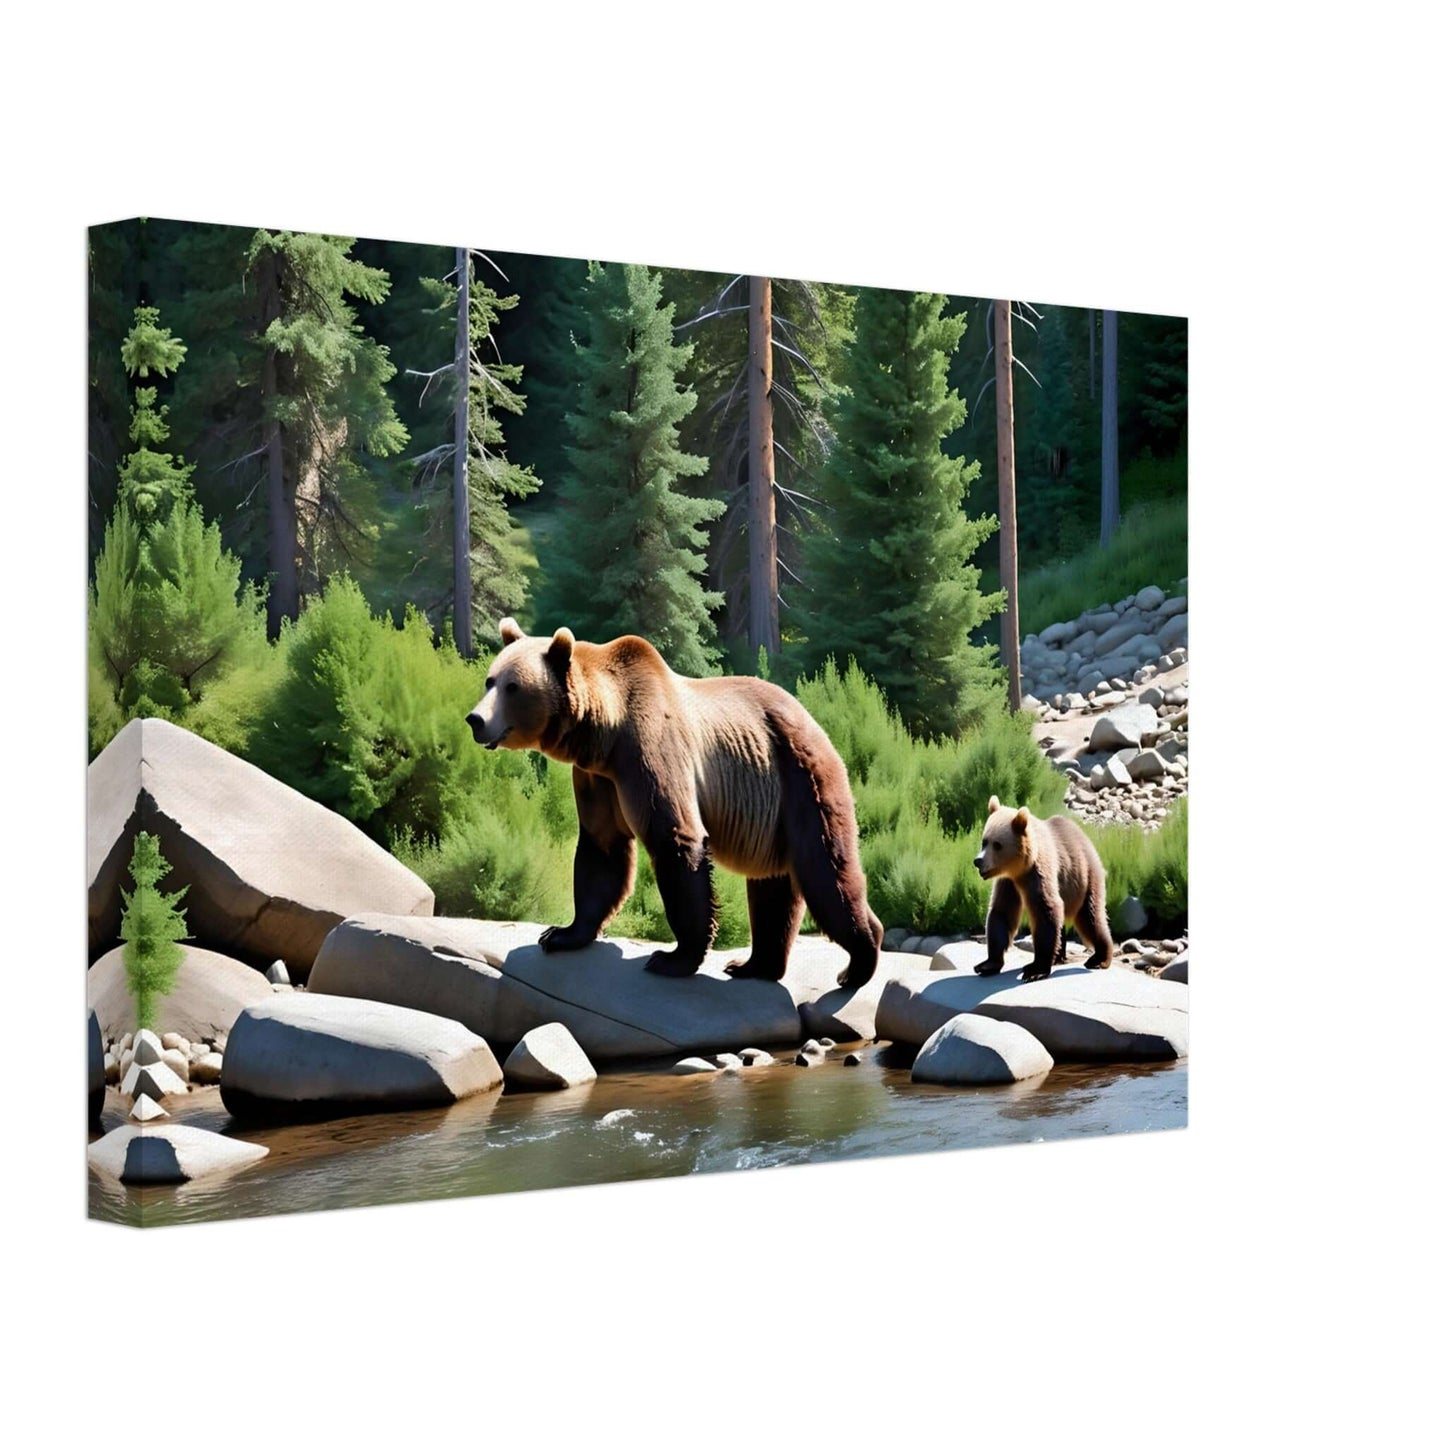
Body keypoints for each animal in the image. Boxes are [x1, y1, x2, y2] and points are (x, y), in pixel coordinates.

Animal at [466, 618, 883, 987]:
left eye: (513, 686)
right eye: (490, 680)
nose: (475, 719)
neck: (604, 734)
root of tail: (813, 721)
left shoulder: (650, 749)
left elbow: (675, 839)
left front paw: (673, 957)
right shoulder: (598, 778)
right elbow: (602, 849)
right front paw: (561, 934)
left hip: (800, 778)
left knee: (824, 870)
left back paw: (857, 961)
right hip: (770, 810)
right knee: (772, 887)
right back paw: (753, 965)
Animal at [972, 796, 1113, 984]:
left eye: (997, 845)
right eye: (984, 841)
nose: (978, 861)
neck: (1020, 869)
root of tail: (1085, 838)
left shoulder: (1039, 872)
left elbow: (1046, 909)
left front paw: (1035, 970)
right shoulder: (1008, 882)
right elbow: (1001, 912)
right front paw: (987, 964)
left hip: (1086, 878)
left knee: (1090, 916)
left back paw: (1099, 958)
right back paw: (1060, 956)